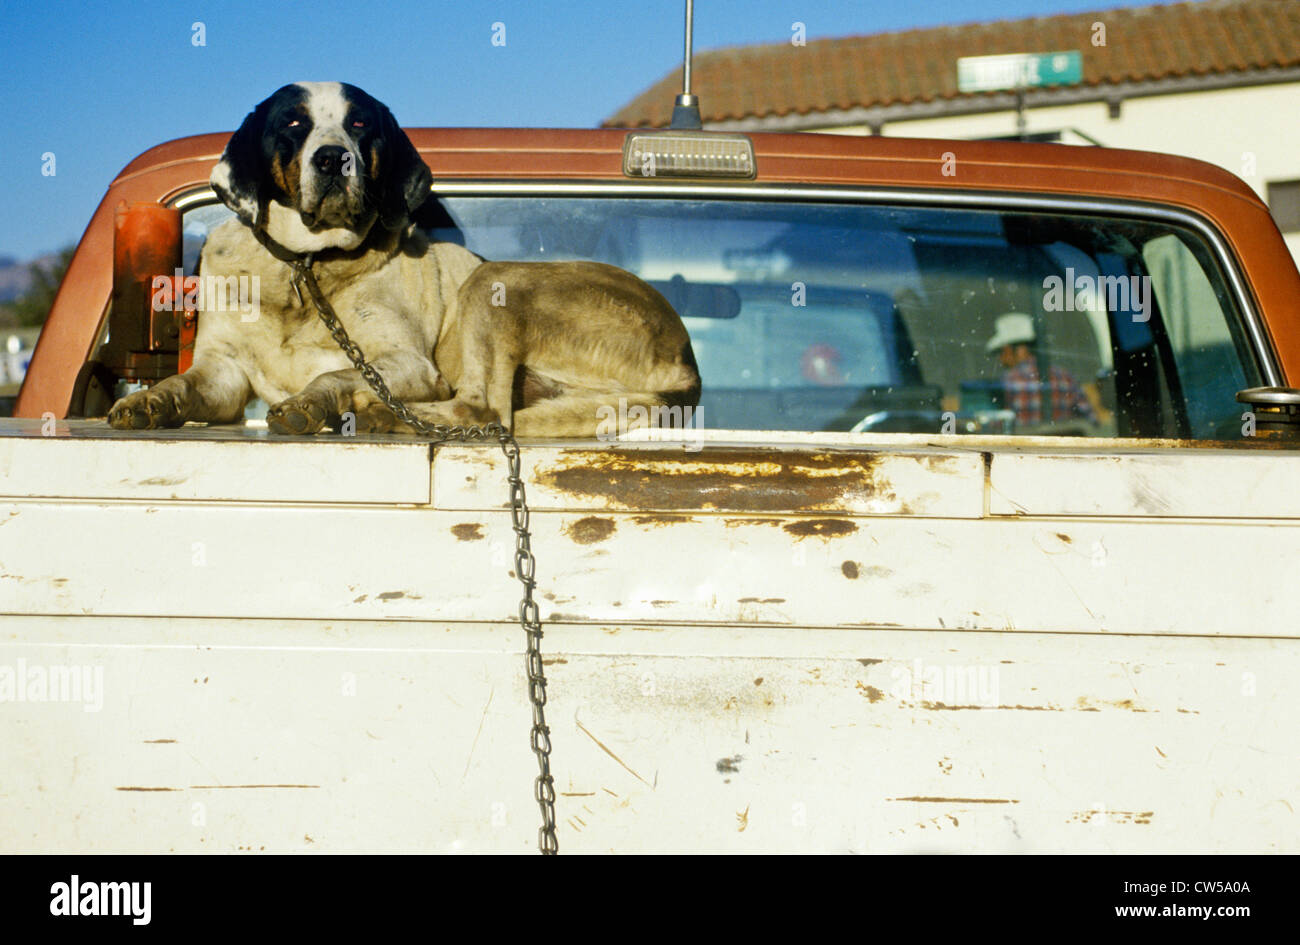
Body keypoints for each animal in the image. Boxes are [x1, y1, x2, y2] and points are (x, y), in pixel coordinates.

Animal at [107, 81, 702, 436]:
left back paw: (381, 415)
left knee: (485, 410)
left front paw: (312, 403)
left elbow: (336, 372)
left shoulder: (407, 364)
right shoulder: (224, 372)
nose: (333, 158)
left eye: (360, 124)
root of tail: (686, 363)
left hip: (497, 280)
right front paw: (149, 400)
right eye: (293, 124)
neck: (305, 266)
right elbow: (185, 384)